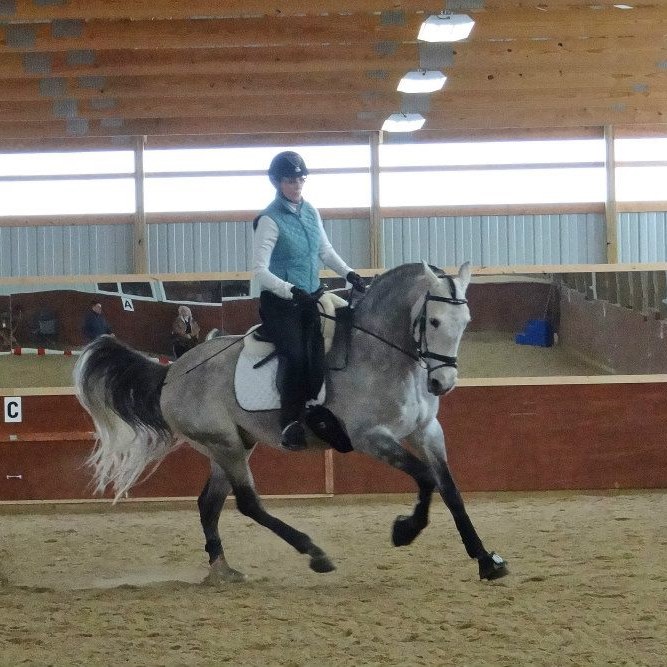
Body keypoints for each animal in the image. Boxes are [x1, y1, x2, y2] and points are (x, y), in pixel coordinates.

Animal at [74, 262, 506, 584]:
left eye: (465, 320)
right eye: (433, 322)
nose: (442, 383)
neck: (383, 354)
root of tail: (173, 371)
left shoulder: (427, 431)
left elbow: (450, 489)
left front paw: (486, 560)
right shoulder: (371, 437)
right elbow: (426, 478)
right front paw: (405, 530)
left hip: (231, 444)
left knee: (209, 505)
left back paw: (222, 570)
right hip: (225, 445)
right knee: (248, 503)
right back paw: (314, 554)